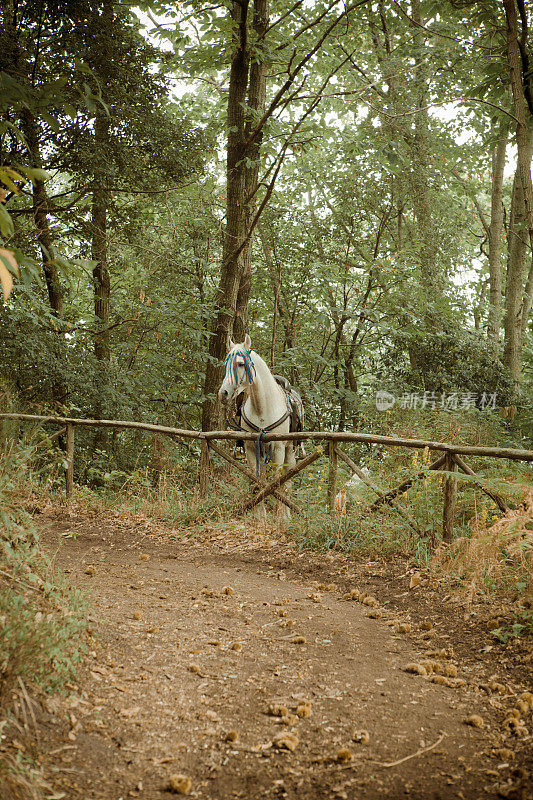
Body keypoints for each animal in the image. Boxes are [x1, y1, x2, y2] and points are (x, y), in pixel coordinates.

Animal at [218, 332, 298, 516]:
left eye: (240, 364)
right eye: (225, 365)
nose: (223, 393)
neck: (263, 408)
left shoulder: (278, 448)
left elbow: (277, 481)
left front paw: (280, 516)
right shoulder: (251, 447)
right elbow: (257, 481)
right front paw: (259, 516)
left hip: (289, 450)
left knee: (287, 481)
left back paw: (287, 515)